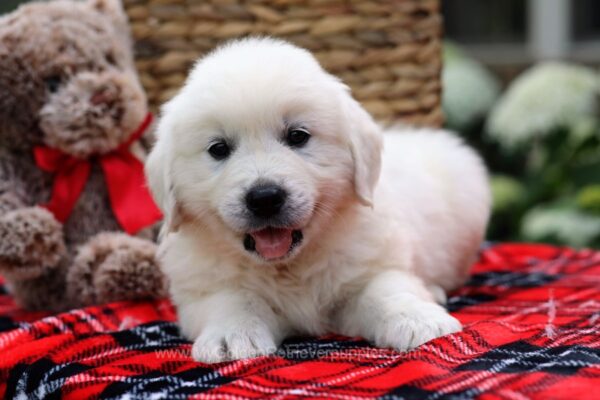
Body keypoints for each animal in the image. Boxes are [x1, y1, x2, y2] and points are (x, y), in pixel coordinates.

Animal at [146, 36, 492, 362]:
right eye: (218, 149)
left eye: (297, 136)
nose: (265, 198)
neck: (290, 266)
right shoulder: (202, 289)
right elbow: (230, 301)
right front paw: (231, 336)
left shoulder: (370, 265)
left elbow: (386, 289)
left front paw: (418, 320)